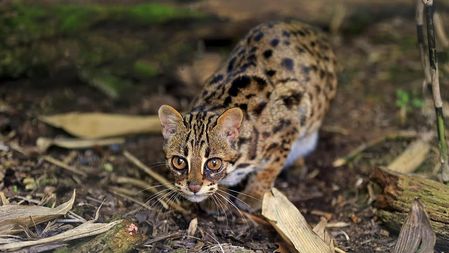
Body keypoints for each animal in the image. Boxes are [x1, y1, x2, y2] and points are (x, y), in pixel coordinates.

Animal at [158, 19, 336, 211]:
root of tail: (309, 28)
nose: (194, 187)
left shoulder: (292, 114)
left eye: (214, 163)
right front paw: (217, 198)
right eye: (179, 162)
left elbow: (270, 167)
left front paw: (254, 194)